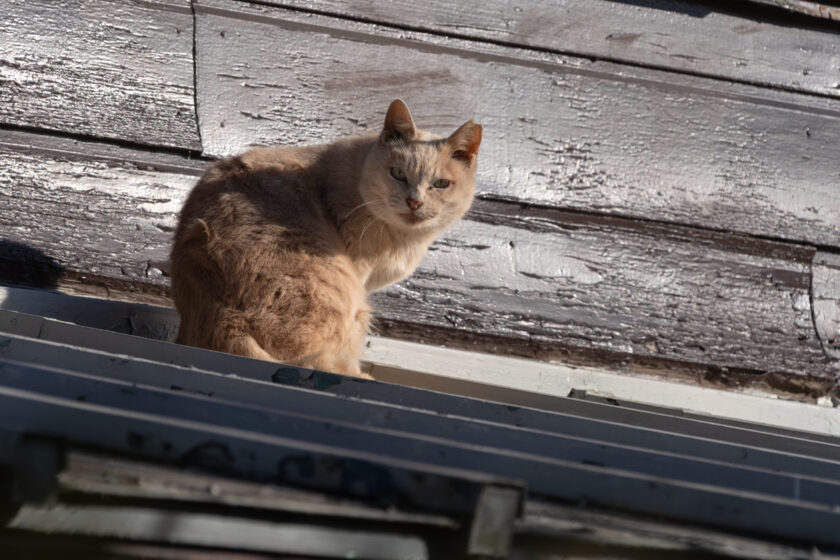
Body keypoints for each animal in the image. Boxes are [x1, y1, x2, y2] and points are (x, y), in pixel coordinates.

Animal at [170, 101, 482, 380]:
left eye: (440, 184)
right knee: (320, 361)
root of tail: (224, 315)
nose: (414, 202)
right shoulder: (360, 275)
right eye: (398, 174)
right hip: (346, 301)